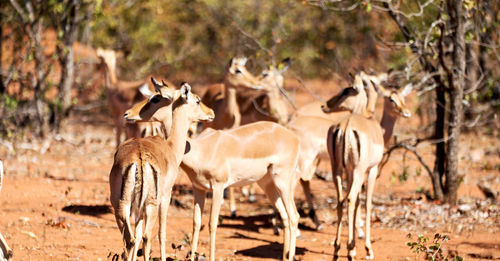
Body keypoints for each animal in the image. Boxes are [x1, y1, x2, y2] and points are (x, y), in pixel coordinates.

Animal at [110, 79, 214, 260]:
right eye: (198, 100)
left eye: (155, 98)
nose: (211, 113)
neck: (170, 147)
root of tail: (139, 157)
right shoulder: (166, 196)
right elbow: (161, 233)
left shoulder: (138, 208)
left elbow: (137, 235)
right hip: (151, 204)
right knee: (146, 237)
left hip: (122, 204)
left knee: (130, 239)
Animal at [322, 80, 412, 258]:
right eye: (391, 99)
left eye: (402, 97)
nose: (406, 113)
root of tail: (345, 126)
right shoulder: (371, 170)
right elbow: (367, 204)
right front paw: (368, 249)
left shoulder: (349, 172)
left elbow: (357, 202)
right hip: (358, 171)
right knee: (349, 200)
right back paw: (350, 251)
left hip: (337, 170)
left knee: (341, 201)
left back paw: (337, 249)